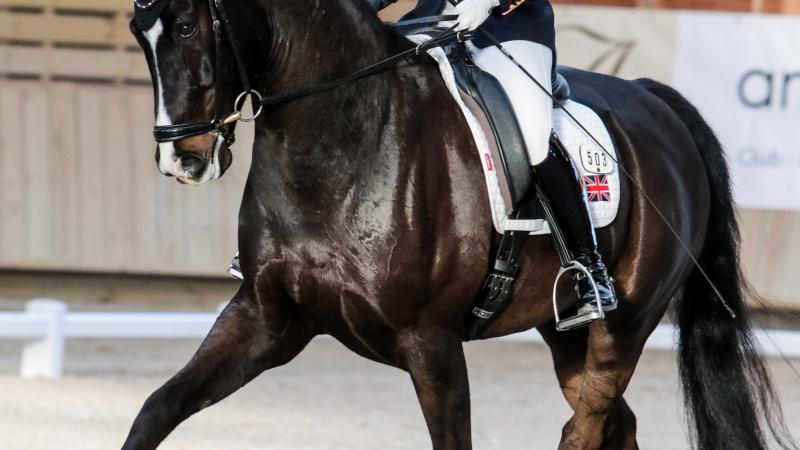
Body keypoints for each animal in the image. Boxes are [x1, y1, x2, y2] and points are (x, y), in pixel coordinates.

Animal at [122, 0, 796, 450]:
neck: (343, 141)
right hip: (567, 334)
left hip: (624, 325)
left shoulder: (432, 343)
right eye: (138, 32)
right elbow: (157, 409)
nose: (180, 159)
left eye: (187, 26)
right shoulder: (266, 319)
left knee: (587, 428)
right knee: (613, 425)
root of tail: (656, 102)